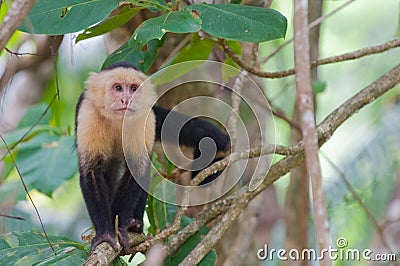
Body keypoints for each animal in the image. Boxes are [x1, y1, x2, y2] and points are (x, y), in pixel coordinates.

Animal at [75, 61, 230, 255]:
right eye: (118, 88)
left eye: (133, 89)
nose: (126, 100)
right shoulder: (88, 114)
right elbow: (92, 172)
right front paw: (105, 233)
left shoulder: (145, 118)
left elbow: (137, 170)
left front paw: (120, 228)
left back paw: (135, 224)